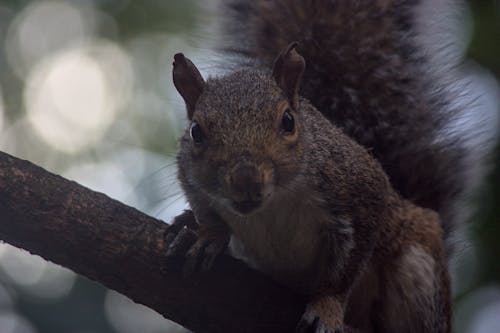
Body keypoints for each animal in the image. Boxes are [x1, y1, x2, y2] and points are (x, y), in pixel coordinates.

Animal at [165, 1, 476, 330]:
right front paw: (209, 234)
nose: (246, 181)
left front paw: (327, 306)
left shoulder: (360, 190)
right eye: (196, 131)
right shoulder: (189, 176)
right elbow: (204, 209)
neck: (273, 205)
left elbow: (347, 268)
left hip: (419, 270)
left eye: (288, 121)